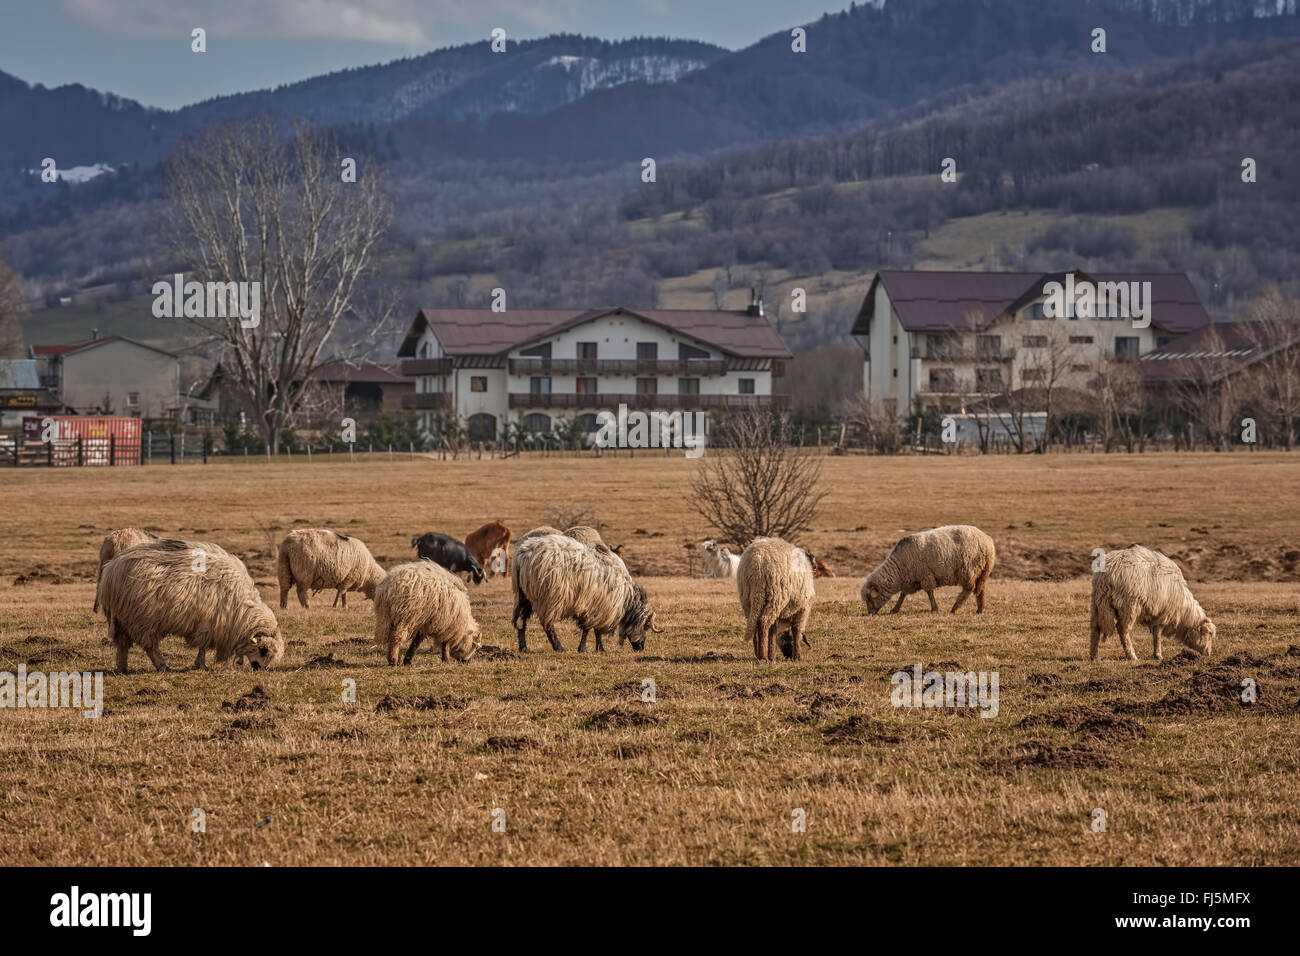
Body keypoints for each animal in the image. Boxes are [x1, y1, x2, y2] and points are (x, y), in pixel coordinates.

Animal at [98, 538, 284, 671]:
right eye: (263, 649)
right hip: (141, 619)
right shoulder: (208, 623)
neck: (241, 609)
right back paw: (162, 666)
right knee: (150, 646)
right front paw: (201, 665)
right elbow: (203, 647)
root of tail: (111, 569)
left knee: (123, 644)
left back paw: (122, 667)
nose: (260, 669)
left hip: (122, 618)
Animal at [509, 535, 660, 655]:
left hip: (524, 596)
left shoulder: (599, 608)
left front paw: (599, 649)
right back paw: (559, 647)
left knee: (521, 622)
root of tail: (522, 556)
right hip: (549, 599)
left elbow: (596, 631)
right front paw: (584, 649)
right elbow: (589, 629)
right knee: (547, 625)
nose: (641, 648)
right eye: (646, 626)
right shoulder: (595, 607)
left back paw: (524, 648)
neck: (626, 598)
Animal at [863, 528, 993, 616]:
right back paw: (980, 609)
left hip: (968, 569)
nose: (870, 613)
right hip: (982, 571)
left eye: (870, 598)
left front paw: (934, 608)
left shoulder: (925, 576)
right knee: (980, 589)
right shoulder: (910, 580)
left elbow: (929, 592)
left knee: (968, 589)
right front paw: (895, 609)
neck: (898, 569)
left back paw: (955, 608)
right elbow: (903, 595)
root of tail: (988, 542)